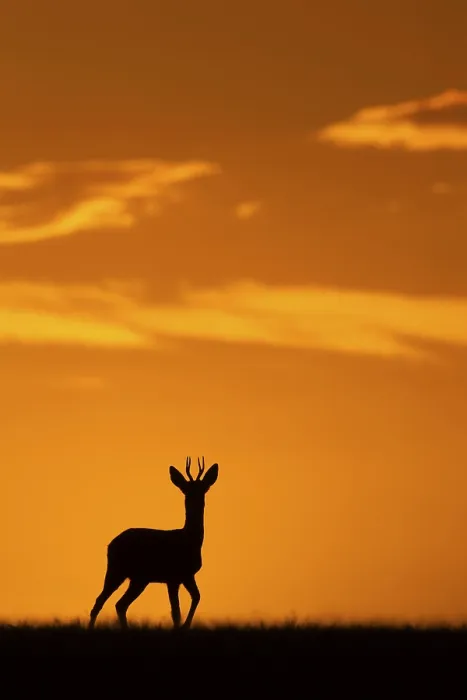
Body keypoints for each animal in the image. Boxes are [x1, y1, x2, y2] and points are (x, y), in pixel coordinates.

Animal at [88, 456, 219, 630]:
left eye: (204, 488)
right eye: (185, 489)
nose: (194, 499)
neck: (189, 540)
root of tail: (111, 544)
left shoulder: (187, 575)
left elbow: (197, 597)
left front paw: (185, 626)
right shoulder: (173, 577)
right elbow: (176, 612)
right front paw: (180, 627)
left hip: (139, 578)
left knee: (120, 604)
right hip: (117, 570)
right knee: (101, 601)